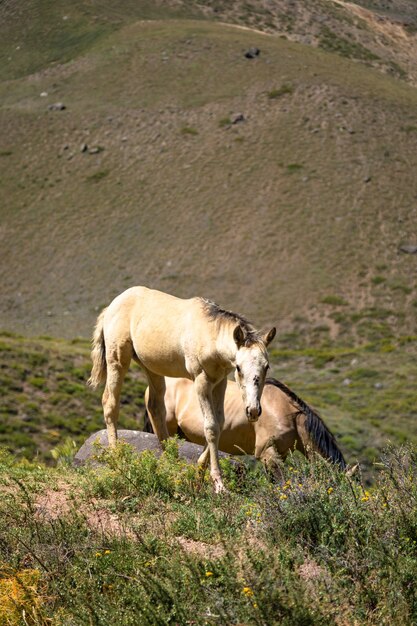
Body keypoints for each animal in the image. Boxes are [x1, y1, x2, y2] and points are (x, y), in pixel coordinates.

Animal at [88, 286, 274, 490]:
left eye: (266, 366)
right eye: (239, 368)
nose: (253, 410)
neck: (209, 334)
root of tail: (111, 306)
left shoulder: (220, 382)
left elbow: (219, 423)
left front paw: (198, 475)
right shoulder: (201, 380)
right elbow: (210, 426)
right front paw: (218, 483)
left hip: (152, 367)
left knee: (155, 408)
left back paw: (172, 465)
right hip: (117, 360)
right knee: (110, 404)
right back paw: (118, 458)